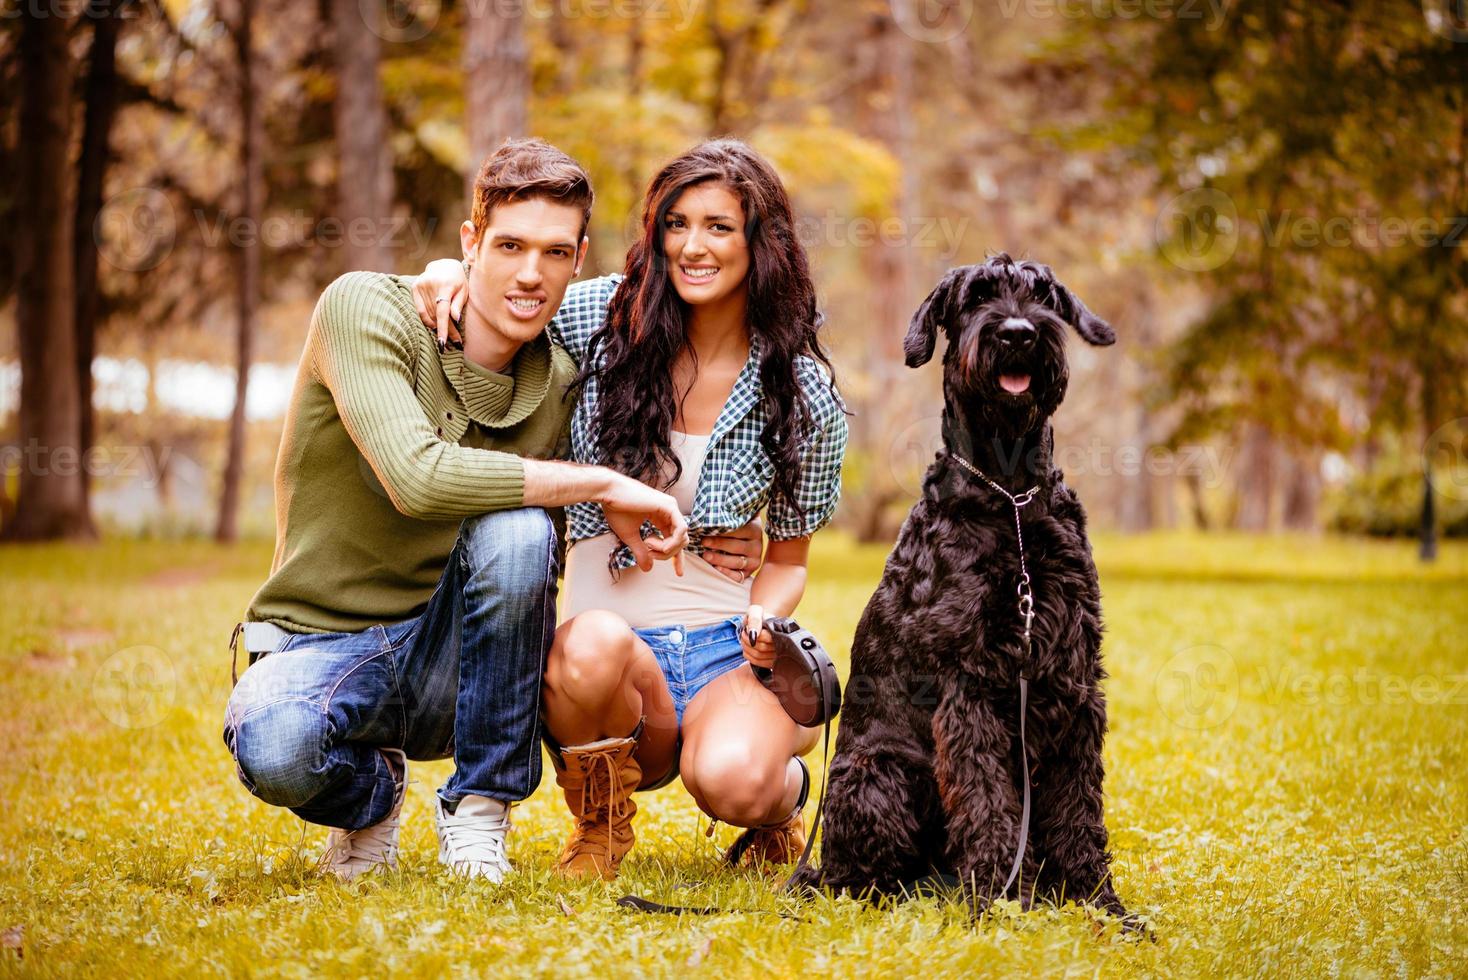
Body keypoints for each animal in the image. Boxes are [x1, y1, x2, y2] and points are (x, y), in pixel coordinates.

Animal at [798, 256, 1127, 921]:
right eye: (976, 296)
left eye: (1043, 294)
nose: (1019, 333)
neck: (1012, 497)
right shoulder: (970, 683)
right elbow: (986, 800)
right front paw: (1002, 902)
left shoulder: (1076, 678)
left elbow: (1080, 806)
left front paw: (1099, 903)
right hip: (878, 774)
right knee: (863, 877)